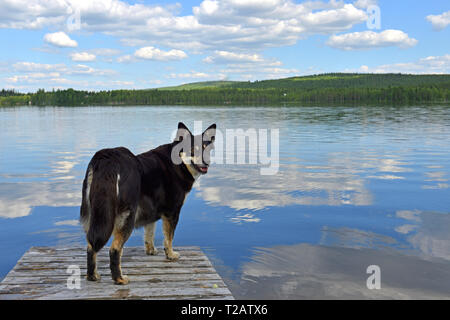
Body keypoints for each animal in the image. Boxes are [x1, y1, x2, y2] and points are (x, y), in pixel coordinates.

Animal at [79, 122, 216, 284]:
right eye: (192, 150)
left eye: (207, 149)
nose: (207, 162)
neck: (178, 163)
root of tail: (107, 160)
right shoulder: (172, 212)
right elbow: (169, 238)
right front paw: (170, 255)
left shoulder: (151, 210)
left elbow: (149, 233)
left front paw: (151, 251)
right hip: (126, 218)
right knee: (114, 249)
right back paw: (119, 279)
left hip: (97, 216)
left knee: (90, 246)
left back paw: (92, 276)